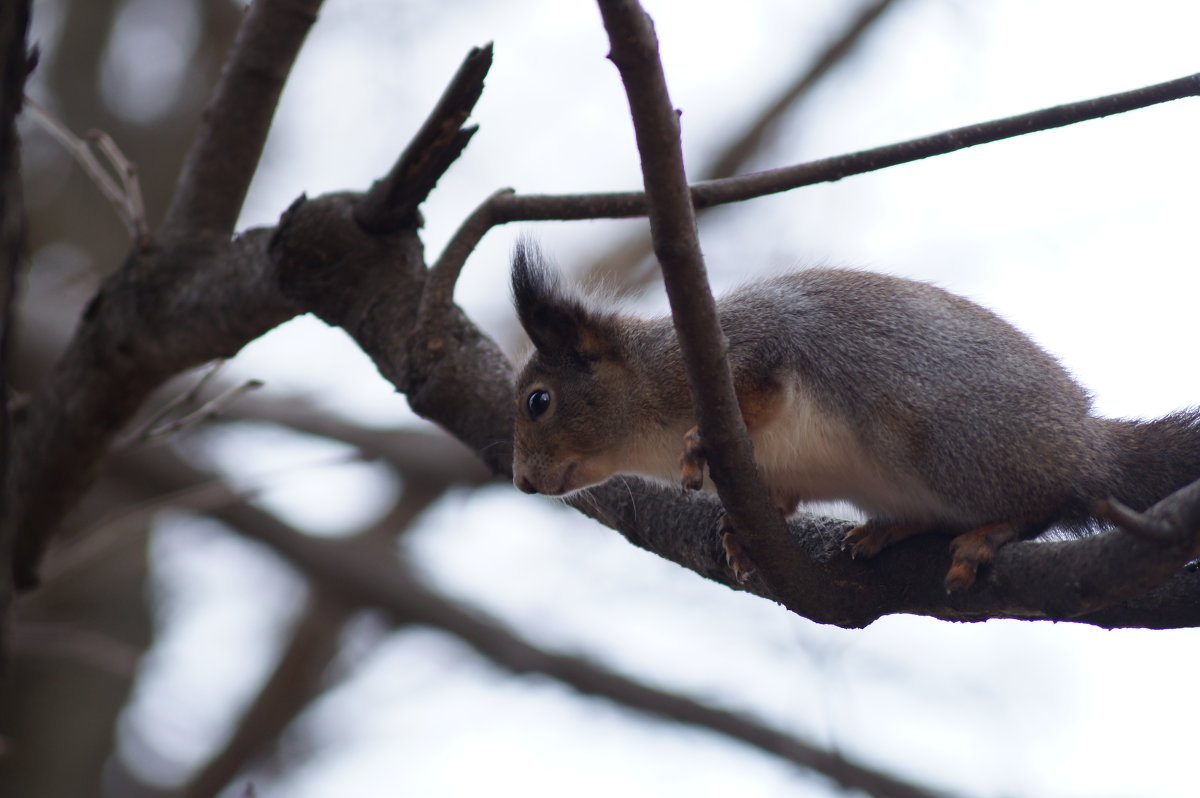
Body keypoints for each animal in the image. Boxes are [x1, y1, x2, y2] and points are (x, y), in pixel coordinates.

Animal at [508, 240, 1200, 588]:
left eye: (539, 401)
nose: (520, 481)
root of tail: (1089, 445)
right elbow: (779, 500)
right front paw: (736, 532)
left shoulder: (748, 346)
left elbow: (757, 385)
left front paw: (701, 442)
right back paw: (890, 530)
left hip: (955, 444)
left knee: (1055, 498)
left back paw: (993, 530)